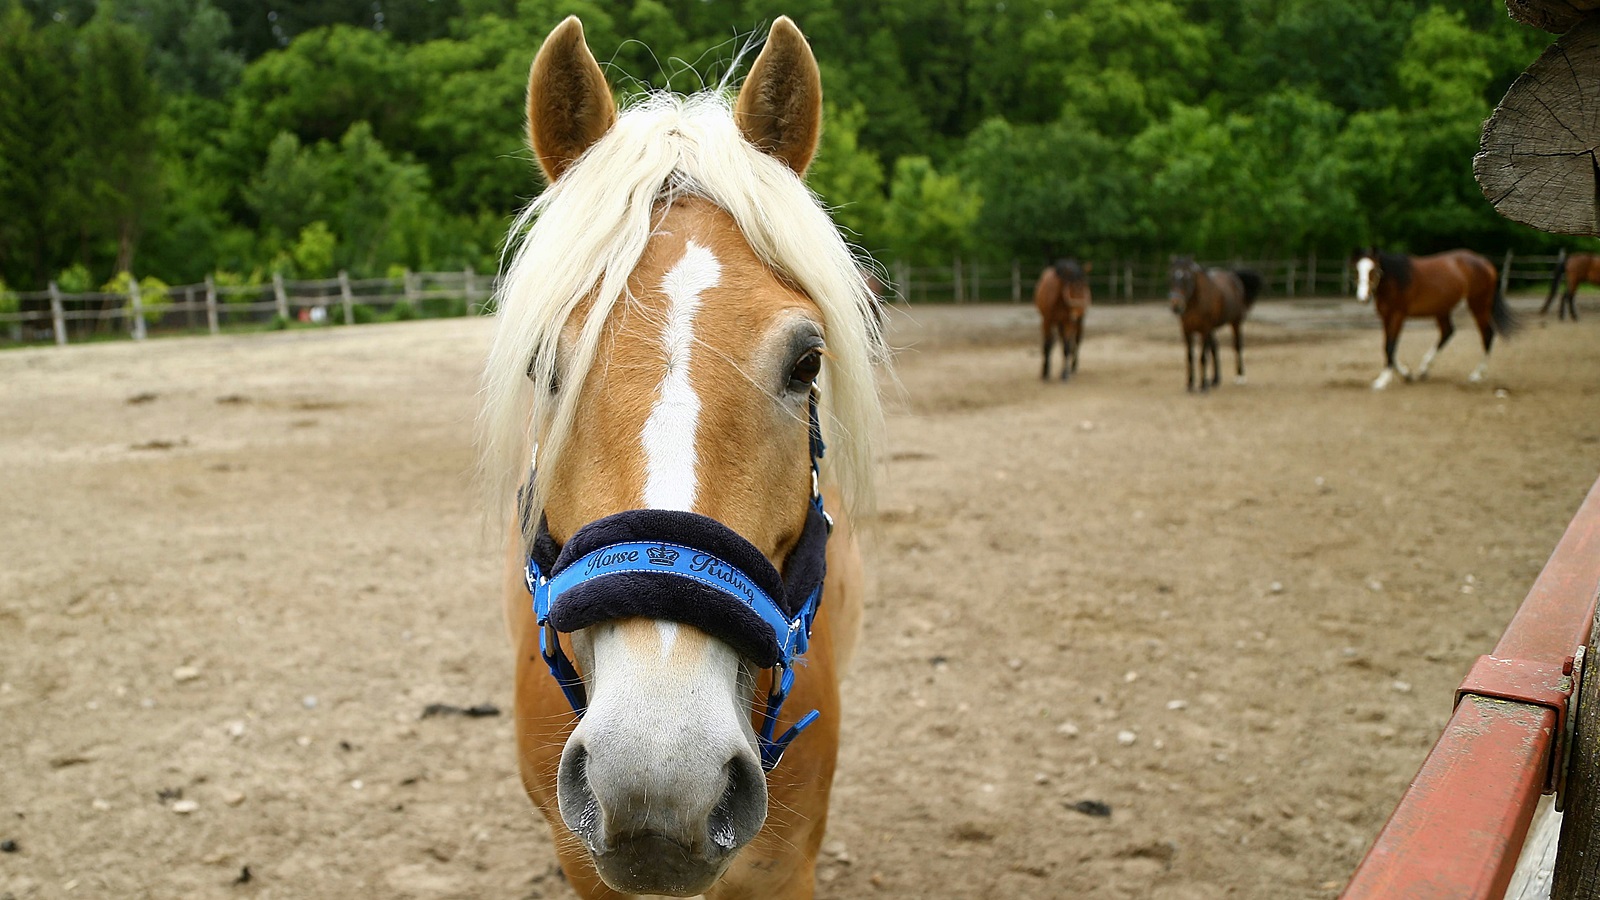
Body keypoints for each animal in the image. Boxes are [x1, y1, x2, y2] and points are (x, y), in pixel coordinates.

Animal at [1164, 254, 1260, 390]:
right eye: (1171, 276)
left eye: (1188, 278)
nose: (1176, 305)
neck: (1195, 302)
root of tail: (1233, 276)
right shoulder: (1186, 330)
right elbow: (1190, 356)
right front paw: (1190, 384)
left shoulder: (1204, 330)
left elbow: (1203, 357)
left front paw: (1203, 385)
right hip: (1212, 328)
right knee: (1215, 347)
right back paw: (1215, 380)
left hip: (1235, 322)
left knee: (1237, 345)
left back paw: (1240, 376)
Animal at [1350, 246, 1510, 387]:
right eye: (1357, 270)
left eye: (1373, 270)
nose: (1363, 298)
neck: (1395, 280)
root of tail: (1486, 264)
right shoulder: (1386, 318)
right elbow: (1388, 347)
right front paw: (1407, 375)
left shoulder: (1398, 316)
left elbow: (1390, 347)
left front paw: (1382, 380)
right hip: (1442, 310)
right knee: (1448, 332)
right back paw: (1424, 369)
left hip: (1478, 306)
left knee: (1487, 334)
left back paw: (1476, 375)